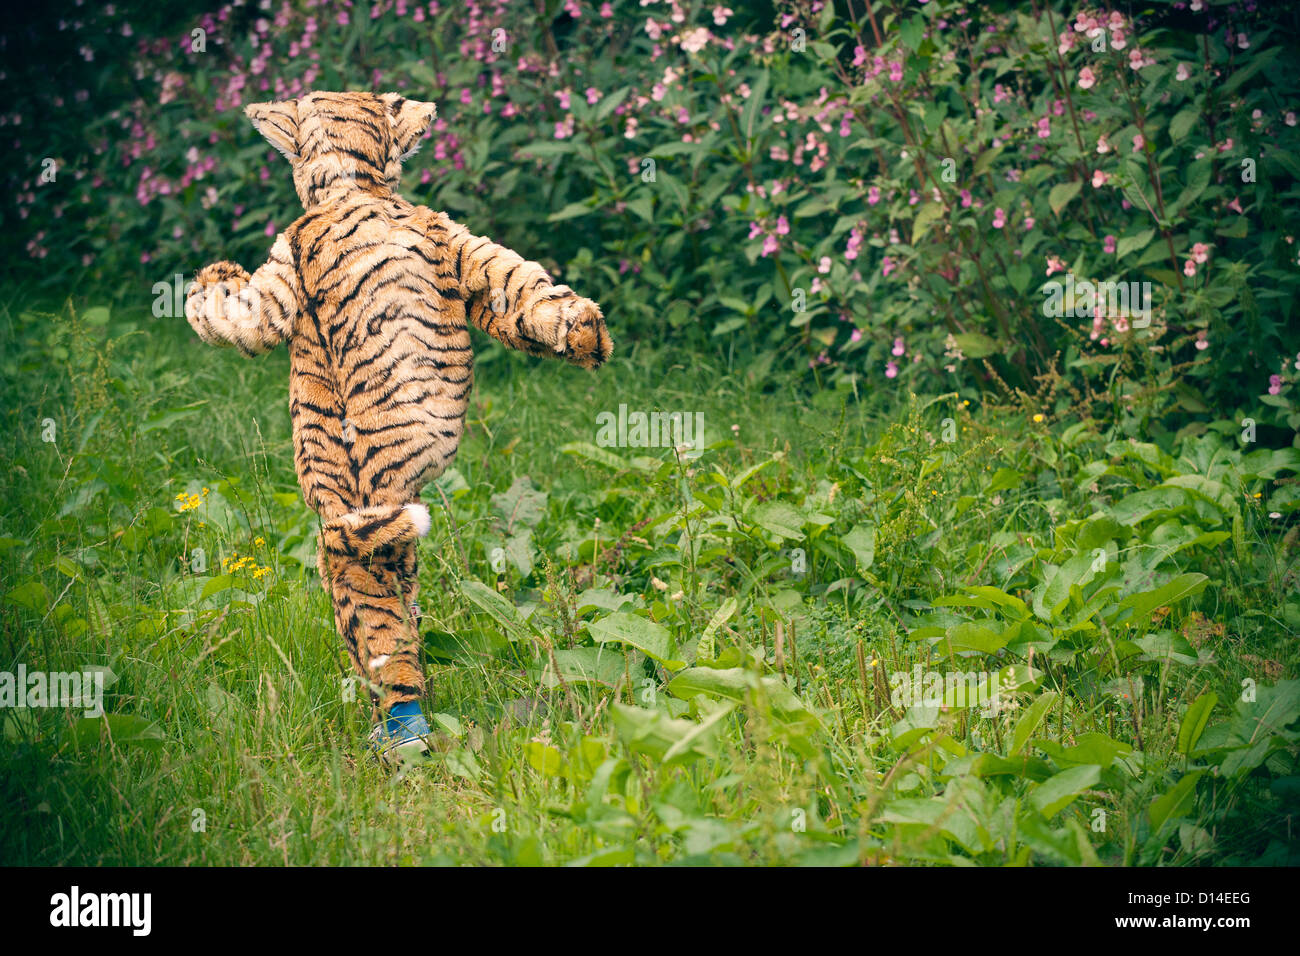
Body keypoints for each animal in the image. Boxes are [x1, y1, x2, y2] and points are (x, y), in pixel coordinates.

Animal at [184, 90, 612, 757]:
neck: (353, 189)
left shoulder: (284, 263)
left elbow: (241, 314)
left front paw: (211, 282)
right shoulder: (456, 240)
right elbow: (520, 288)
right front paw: (584, 330)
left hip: (344, 527)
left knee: (377, 635)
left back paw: (398, 728)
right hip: (394, 532)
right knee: (405, 607)